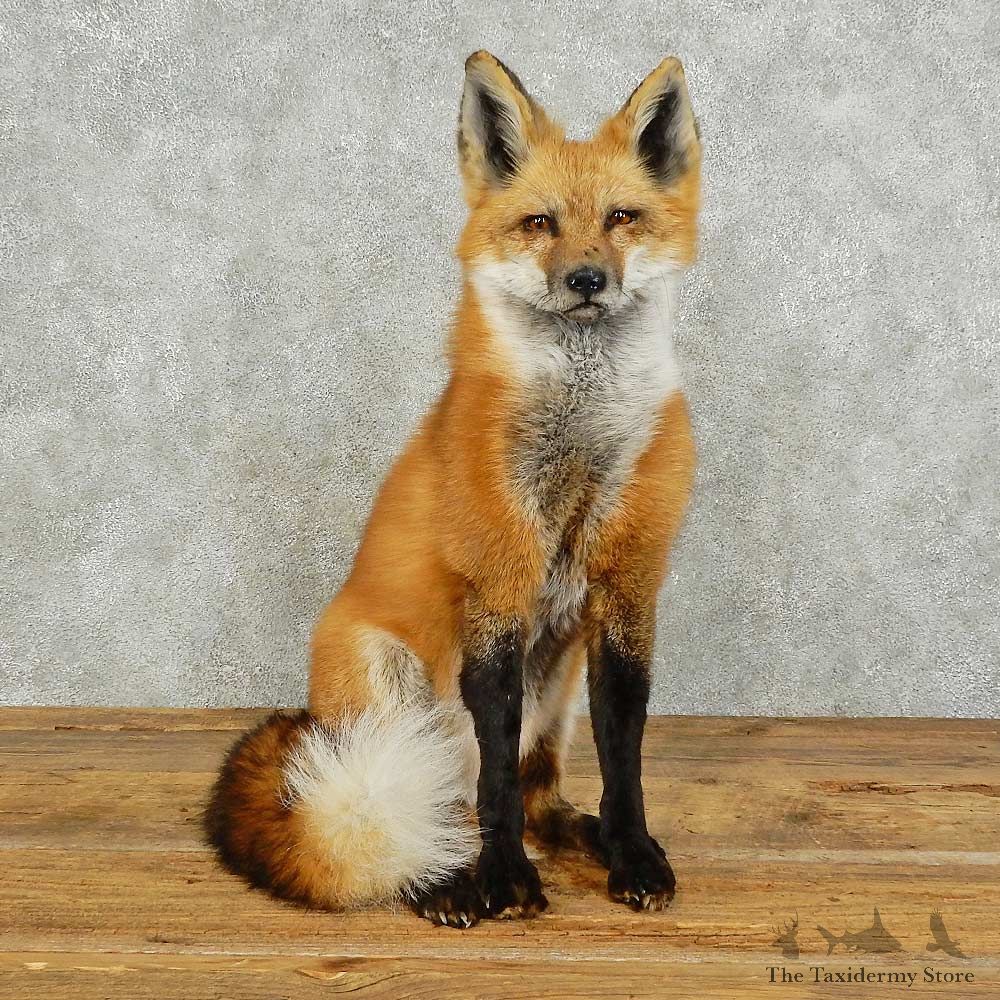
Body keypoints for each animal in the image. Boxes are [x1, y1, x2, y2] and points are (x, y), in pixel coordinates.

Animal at [205, 50, 702, 928]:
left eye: (622, 217)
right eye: (540, 223)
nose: (586, 279)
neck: (576, 449)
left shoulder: (627, 586)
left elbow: (623, 758)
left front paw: (633, 852)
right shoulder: (495, 588)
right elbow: (494, 778)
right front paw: (500, 876)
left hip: (556, 688)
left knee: (536, 800)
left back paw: (581, 835)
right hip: (396, 704)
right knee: (427, 807)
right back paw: (441, 878)